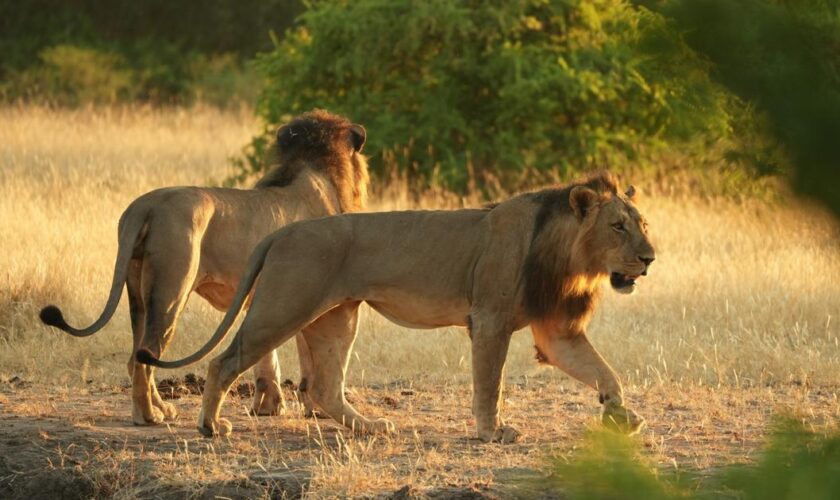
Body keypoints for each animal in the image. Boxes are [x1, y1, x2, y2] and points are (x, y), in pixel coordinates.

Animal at [39, 109, 368, 426]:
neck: (314, 167)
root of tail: (145, 205)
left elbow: (267, 360)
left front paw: (268, 407)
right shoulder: (307, 291)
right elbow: (307, 359)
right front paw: (313, 409)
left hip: (138, 293)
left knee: (136, 356)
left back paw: (163, 409)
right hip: (171, 290)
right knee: (145, 357)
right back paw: (147, 416)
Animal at [138, 171, 656, 442]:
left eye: (643, 224)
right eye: (617, 227)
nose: (650, 258)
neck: (571, 258)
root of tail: (282, 232)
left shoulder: (556, 329)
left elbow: (605, 372)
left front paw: (621, 415)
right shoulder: (489, 319)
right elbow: (490, 384)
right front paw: (492, 431)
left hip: (337, 317)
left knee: (325, 387)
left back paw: (371, 427)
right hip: (283, 307)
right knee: (225, 360)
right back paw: (210, 425)